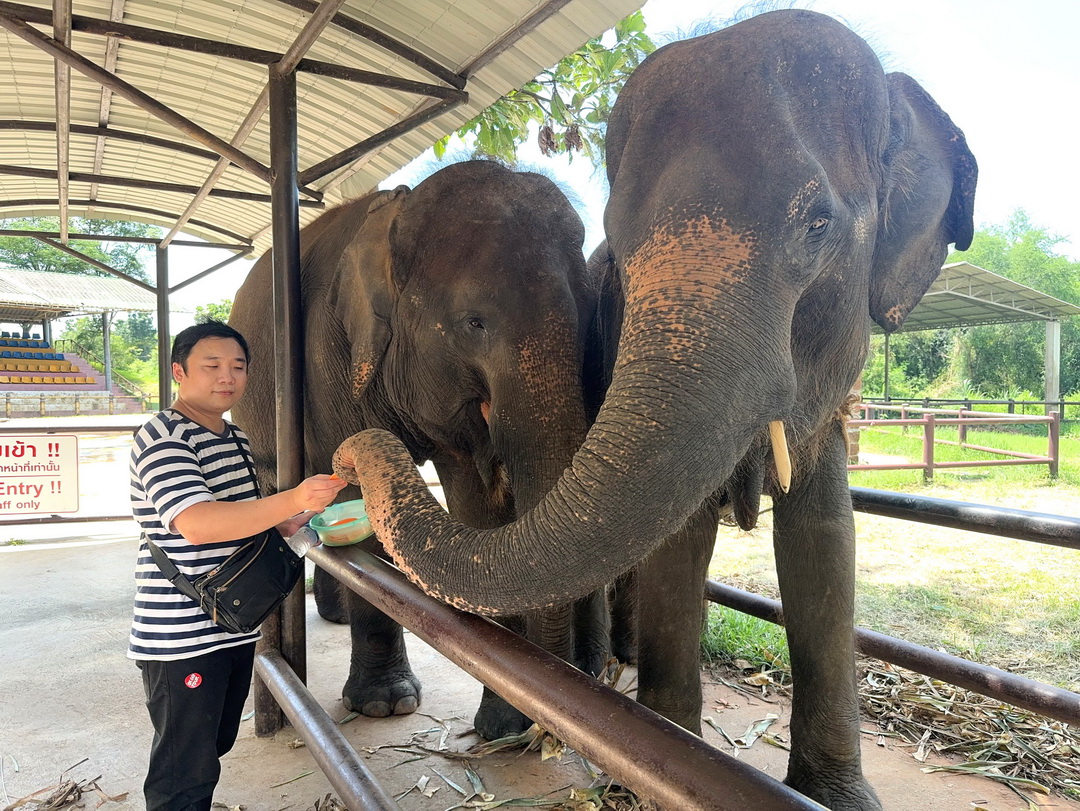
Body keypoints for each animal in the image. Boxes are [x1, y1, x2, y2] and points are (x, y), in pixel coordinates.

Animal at [228, 159, 611, 740]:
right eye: (474, 323)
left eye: (592, 315)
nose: (589, 671)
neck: (396, 212)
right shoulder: (326, 355)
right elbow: (365, 521)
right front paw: (385, 705)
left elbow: (476, 510)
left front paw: (502, 726)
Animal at [332, 10, 977, 809]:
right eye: (619, 245)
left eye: (819, 224)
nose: (348, 451)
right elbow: (682, 541)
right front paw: (661, 766)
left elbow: (825, 536)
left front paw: (836, 797)